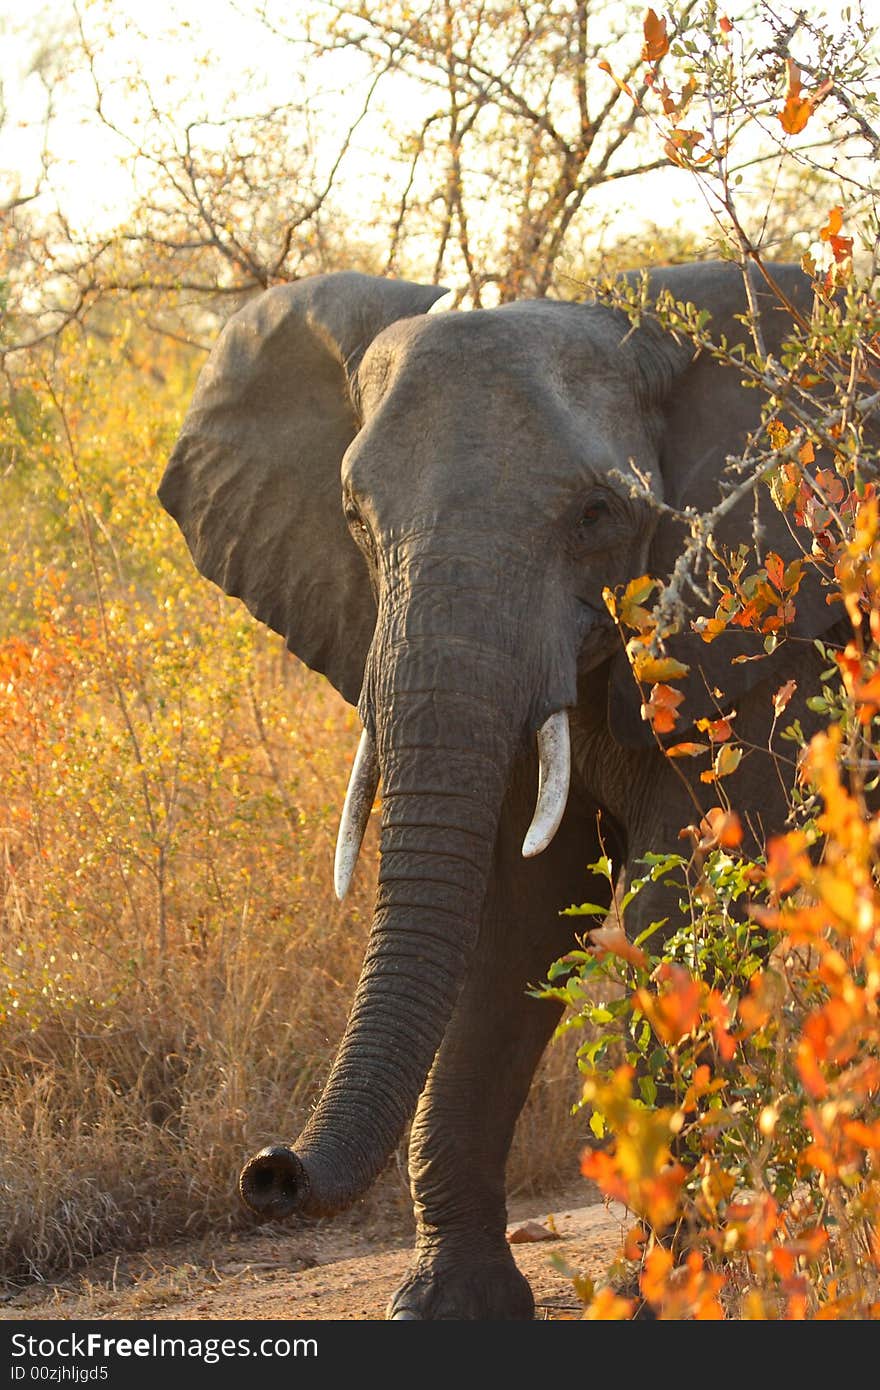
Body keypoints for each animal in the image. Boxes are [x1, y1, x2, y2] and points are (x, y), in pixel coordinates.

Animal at [157, 261, 839, 1312]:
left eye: (598, 516)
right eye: (354, 520)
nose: (267, 1172)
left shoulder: (767, 627)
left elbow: (686, 890)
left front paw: (655, 1294)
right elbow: (511, 913)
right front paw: (447, 1304)